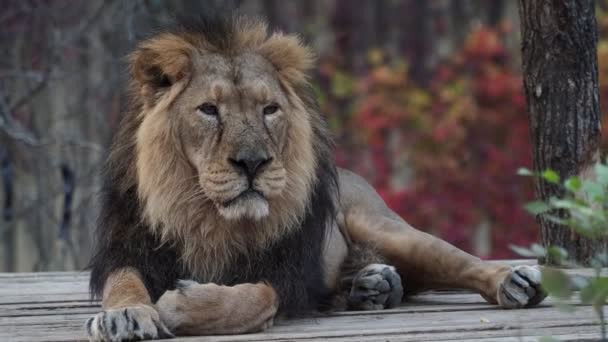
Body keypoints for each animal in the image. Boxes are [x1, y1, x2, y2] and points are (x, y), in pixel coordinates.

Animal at [84, 14, 548, 342]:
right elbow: (123, 283)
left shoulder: (287, 276)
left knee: (460, 261)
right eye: (209, 110)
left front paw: (180, 305)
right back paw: (374, 284)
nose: (253, 162)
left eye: (270, 109)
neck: (205, 216)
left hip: (385, 226)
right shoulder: (127, 250)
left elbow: (250, 299)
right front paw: (125, 315)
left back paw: (513, 281)